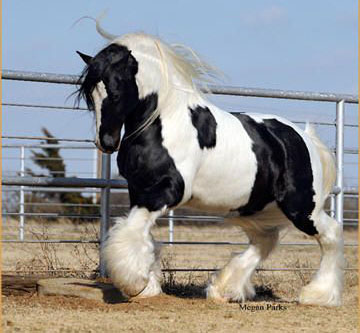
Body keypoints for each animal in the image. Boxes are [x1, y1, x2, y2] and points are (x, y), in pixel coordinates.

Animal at [75, 22, 344, 306]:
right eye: (90, 96)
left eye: (115, 93)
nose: (106, 142)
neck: (164, 120)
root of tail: (304, 138)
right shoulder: (139, 191)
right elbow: (142, 236)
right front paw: (147, 285)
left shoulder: (167, 191)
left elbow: (132, 232)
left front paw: (134, 282)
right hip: (253, 207)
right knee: (265, 240)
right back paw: (225, 289)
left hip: (300, 207)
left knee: (330, 234)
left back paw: (319, 294)